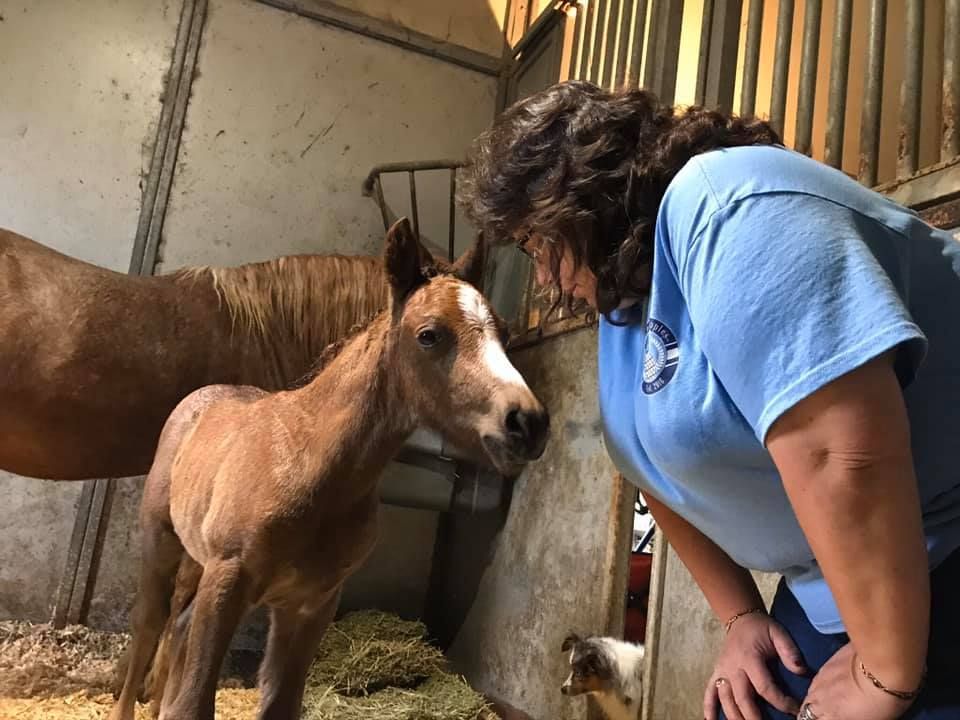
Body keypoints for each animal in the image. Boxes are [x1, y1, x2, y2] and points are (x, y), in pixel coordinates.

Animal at [109, 217, 549, 720]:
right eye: (429, 334)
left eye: (505, 334)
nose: (527, 423)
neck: (311, 465)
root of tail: (200, 399)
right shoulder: (228, 582)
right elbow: (195, 702)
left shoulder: (310, 604)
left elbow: (279, 705)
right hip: (161, 542)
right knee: (149, 625)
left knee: (177, 627)